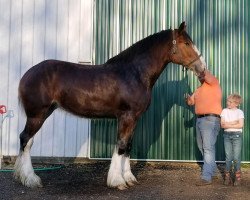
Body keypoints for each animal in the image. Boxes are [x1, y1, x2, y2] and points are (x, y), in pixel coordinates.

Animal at [13, 21, 205, 189]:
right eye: (187, 43)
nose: (202, 68)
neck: (134, 73)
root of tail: (27, 74)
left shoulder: (134, 119)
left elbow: (128, 147)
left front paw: (129, 178)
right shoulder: (126, 117)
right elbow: (121, 146)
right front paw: (117, 181)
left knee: (27, 141)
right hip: (37, 115)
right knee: (25, 139)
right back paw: (31, 179)